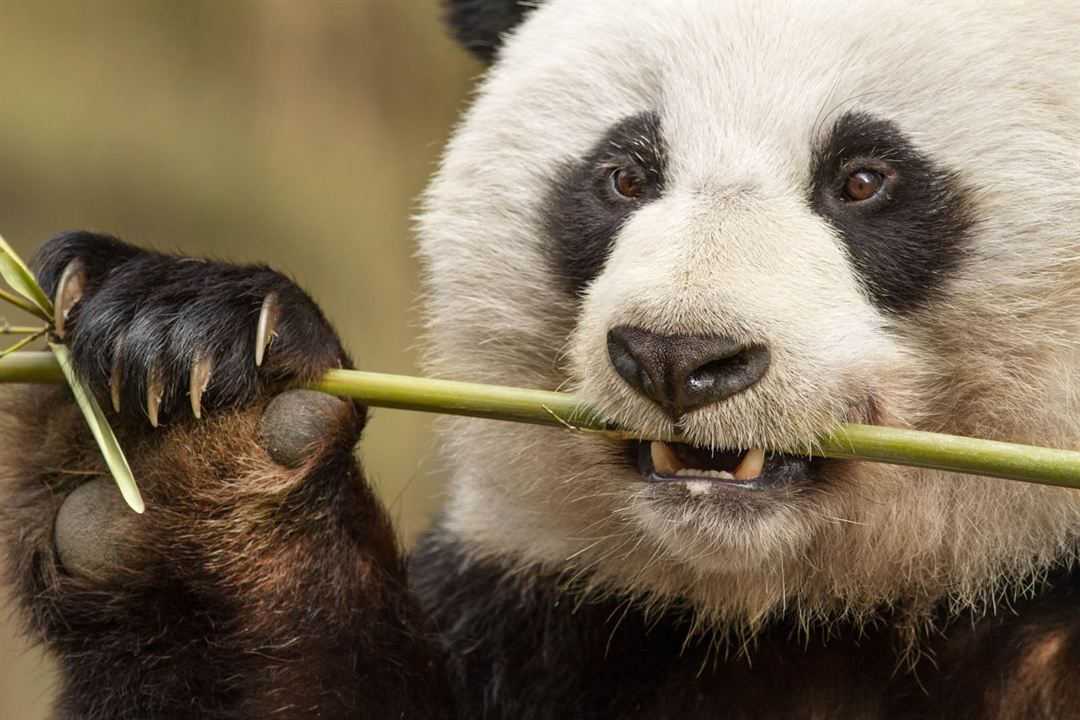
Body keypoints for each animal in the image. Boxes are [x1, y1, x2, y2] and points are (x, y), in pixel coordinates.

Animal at [2, 0, 1080, 716]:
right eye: (625, 175)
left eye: (863, 179)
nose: (678, 358)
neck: (798, 611)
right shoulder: (558, 614)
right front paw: (183, 418)